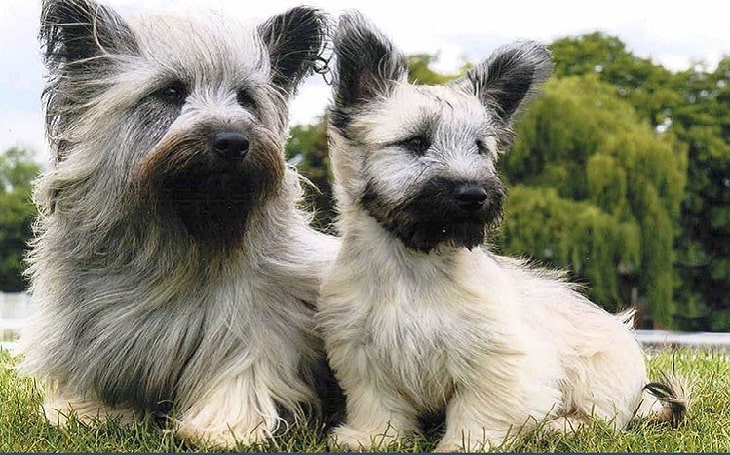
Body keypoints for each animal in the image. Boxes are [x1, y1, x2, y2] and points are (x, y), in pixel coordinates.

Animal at [19, 0, 338, 448]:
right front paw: (90, 412)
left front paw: (224, 428)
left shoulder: (254, 322)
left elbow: (242, 372)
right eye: (170, 91)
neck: (177, 241)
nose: (232, 141)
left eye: (246, 98)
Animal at [316, 10, 684, 452]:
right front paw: (371, 438)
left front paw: (463, 444)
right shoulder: (363, 354)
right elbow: (378, 404)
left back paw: (563, 425)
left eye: (479, 147)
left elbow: (480, 411)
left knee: (605, 418)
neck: (414, 267)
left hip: (600, 372)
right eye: (415, 142)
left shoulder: (498, 361)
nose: (474, 194)